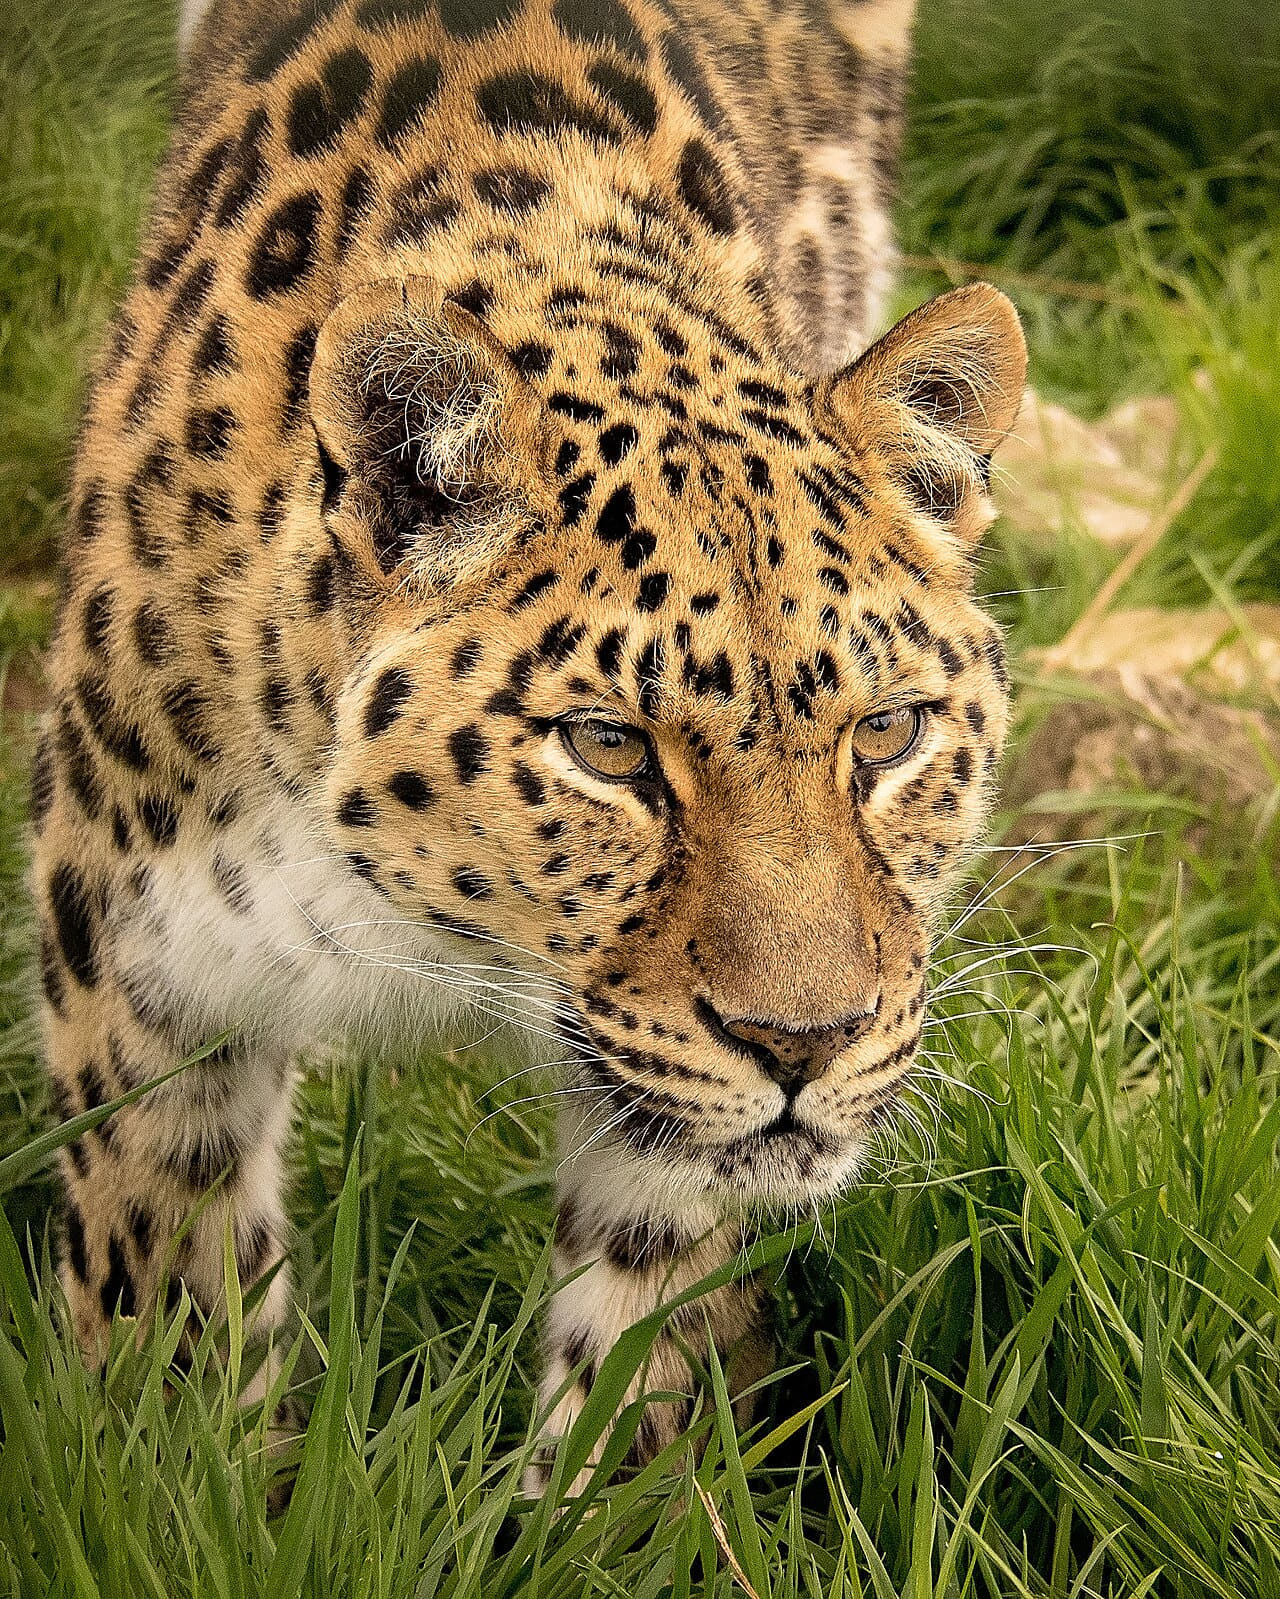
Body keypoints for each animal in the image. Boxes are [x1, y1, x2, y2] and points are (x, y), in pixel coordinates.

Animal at [31, 0, 1026, 1486]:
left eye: (888, 733)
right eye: (608, 746)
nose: (805, 1043)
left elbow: (640, 1375)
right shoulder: (137, 983)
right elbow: (171, 1341)